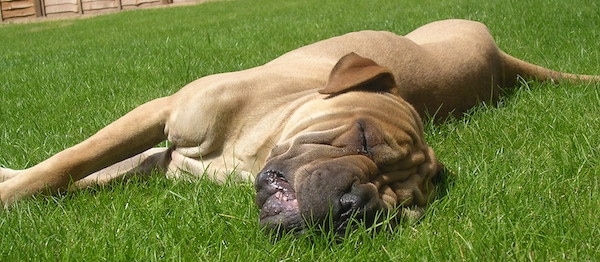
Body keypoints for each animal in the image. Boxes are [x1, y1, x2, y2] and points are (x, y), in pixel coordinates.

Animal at [1, 18, 600, 233]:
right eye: (363, 138)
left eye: (405, 205)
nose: (357, 204)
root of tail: (500, 59)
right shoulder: (159, 115)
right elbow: (70, 164)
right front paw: (13, 186)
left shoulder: (159, 152)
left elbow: (85, 171)